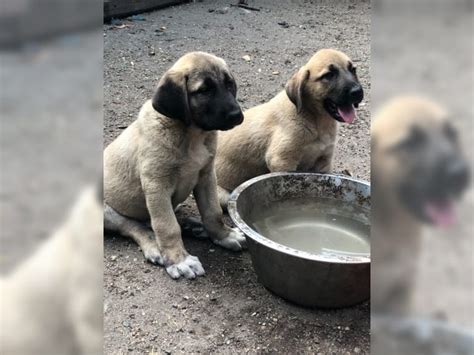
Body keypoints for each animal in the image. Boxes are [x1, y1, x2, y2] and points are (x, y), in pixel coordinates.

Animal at [103, 52, 244, 280]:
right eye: (204, 90)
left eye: (229, 84)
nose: (236, 115)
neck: (191, 135)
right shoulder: (156, 186)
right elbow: (166, 226)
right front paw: (179, 260)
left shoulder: (206, 176)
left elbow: (212, 211)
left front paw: (224, 235)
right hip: (108, 210)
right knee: (134, 226)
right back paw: (154, 246)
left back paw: (194, 226)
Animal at [215, 48, 362, 209]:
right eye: (328, 75)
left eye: (353, 69)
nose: (357, 91)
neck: (316, 121)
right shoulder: (282, 160)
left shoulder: (324, 162)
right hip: (222, 195)